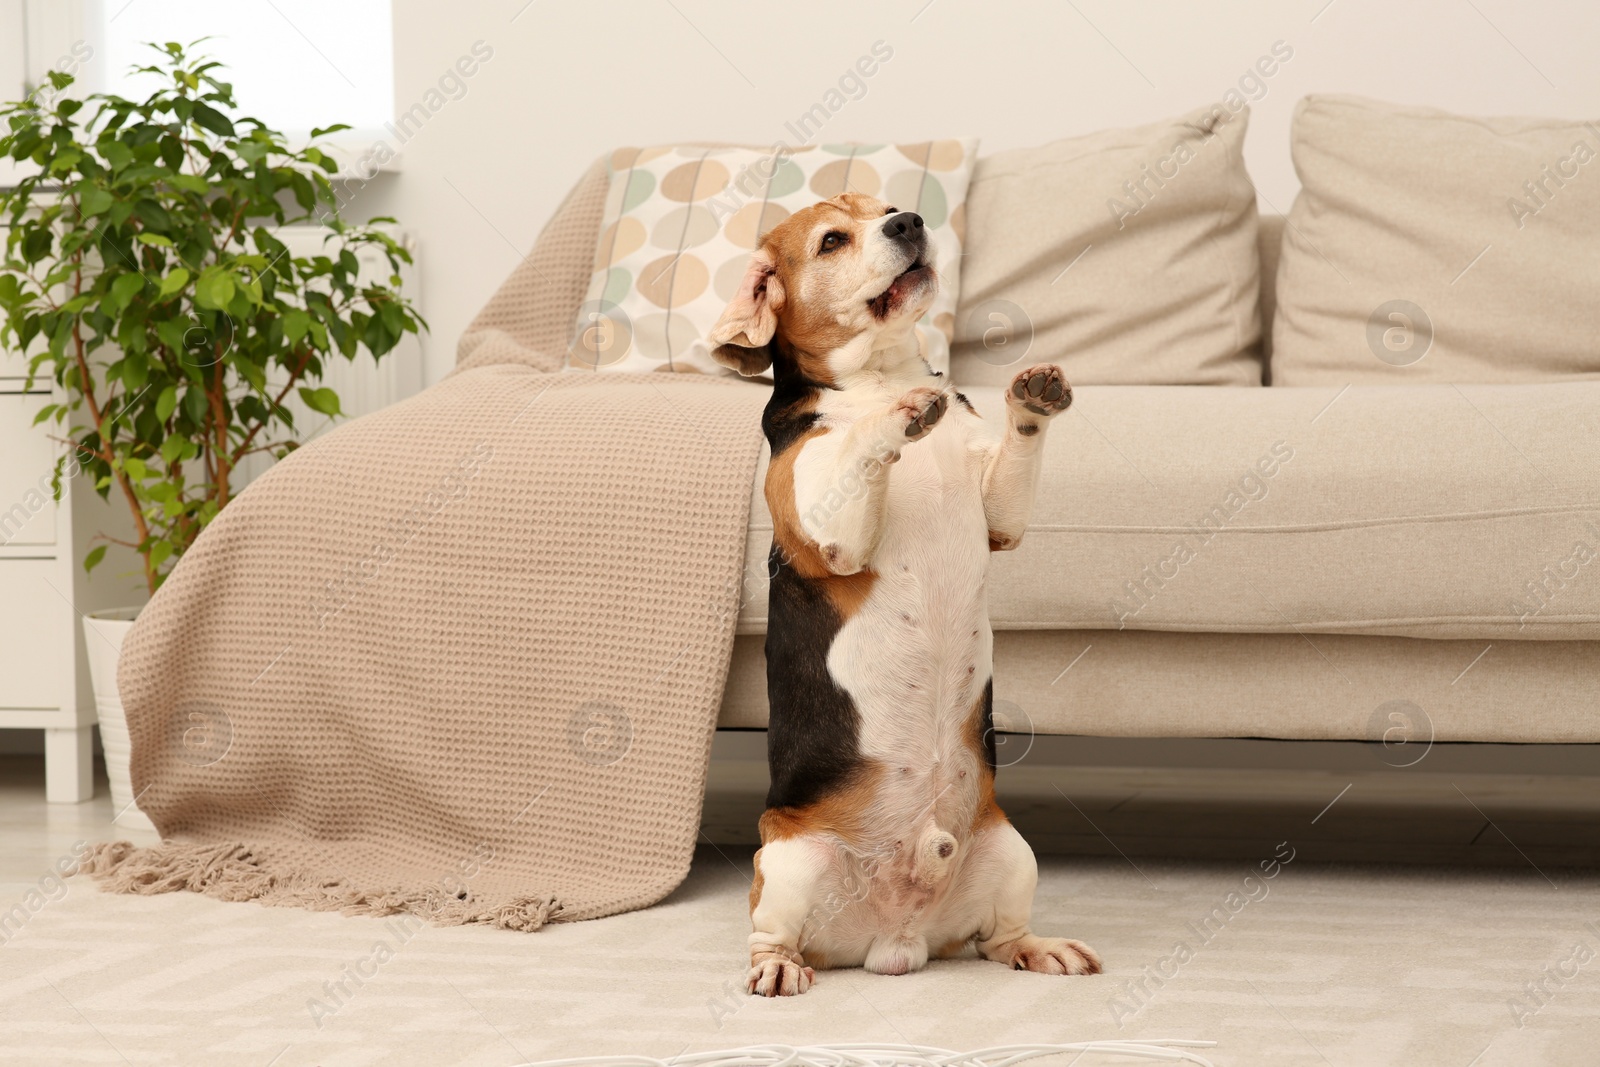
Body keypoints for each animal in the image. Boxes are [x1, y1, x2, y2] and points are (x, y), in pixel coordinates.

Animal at [710, 194, 1100, 1004]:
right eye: (832, 239)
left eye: (886, 208)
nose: (909, 222)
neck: (880, 370)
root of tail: (896, 941)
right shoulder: (830, 532)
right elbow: (864, 440)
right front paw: (899, 416)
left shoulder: (1002, 517)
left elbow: (1013, 457)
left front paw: (1031, 400)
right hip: (788, 861)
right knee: (772, 932)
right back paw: (776, 966)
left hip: (1011, 851)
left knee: (1000, 940)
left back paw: (1040, 949)